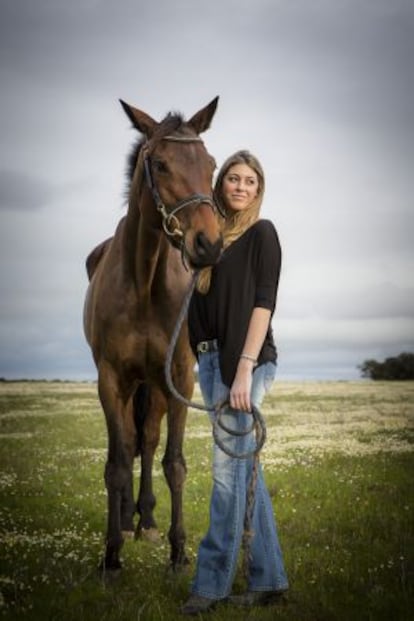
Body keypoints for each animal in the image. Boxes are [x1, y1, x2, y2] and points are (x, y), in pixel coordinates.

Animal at [82, 94, 222, 568]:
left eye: (211, 164)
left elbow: (173, 462)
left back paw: (147, 519)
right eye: (159, 164)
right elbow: (116, 462)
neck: (144, 280)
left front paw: (179, 554)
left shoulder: (178, 377)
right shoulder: (111, 379)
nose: (209, 244)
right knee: (130, 441)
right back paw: (129, 520)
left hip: (155, 386)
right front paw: (111, 555)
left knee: (147, 438)